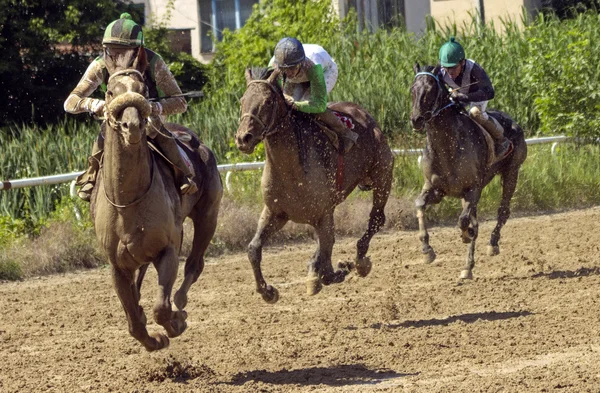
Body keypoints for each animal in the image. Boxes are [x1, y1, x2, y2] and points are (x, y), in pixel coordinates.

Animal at [92, 49, 224, 350]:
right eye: (109, 92)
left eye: (143, 90)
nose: (131, 125)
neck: (128, 203)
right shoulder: (117, 266)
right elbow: (133, 320)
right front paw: (153, 339)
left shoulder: (168, 249)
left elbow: (161, 308)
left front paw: (174, 323)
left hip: (208, 215)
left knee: (194, 265)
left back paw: (181, 302)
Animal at [234, 67, 394, 302]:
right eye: (242, 101)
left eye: (268, 102)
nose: (243, 138)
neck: (291, 170)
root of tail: (366, 116)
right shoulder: (275, 212)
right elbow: (253, 249)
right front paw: (268, 291)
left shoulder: (323, 214)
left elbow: (326, 260)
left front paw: (332, 272)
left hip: (383, 173)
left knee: (376, 218)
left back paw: (359, 261)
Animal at [410, 62, 528, 278]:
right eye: (413, 89)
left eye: (431, 89)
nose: (416, 119)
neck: (447, 146)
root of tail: (511, 120)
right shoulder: (435, 189)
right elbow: (420, 205)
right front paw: (427, 250)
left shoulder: (473, 189)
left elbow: (464, 221)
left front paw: (466, 235)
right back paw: (467, 267)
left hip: (512, 172)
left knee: (502, 211)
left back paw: (491, 245)